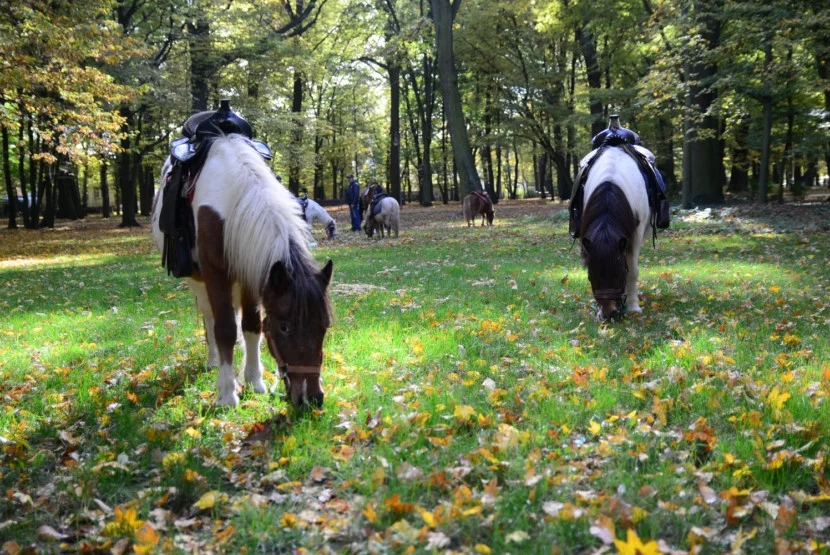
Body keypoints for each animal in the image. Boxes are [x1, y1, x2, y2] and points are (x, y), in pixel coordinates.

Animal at [151, 135, 334, 408]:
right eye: (284, 327)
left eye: (325, 325)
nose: (312, 398)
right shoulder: (216, 275)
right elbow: (225, 328)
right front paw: (227, 394)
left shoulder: (253, 274)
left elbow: (251, 326)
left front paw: (254, 381)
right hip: (197, 281)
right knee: (210, 317)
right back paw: (214, 361)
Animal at [580, 148, 648, 322]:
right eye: (590, 277)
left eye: (620, 275)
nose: (608, 314)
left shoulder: (635, 236)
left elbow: (633, 271)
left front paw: (633, 307)